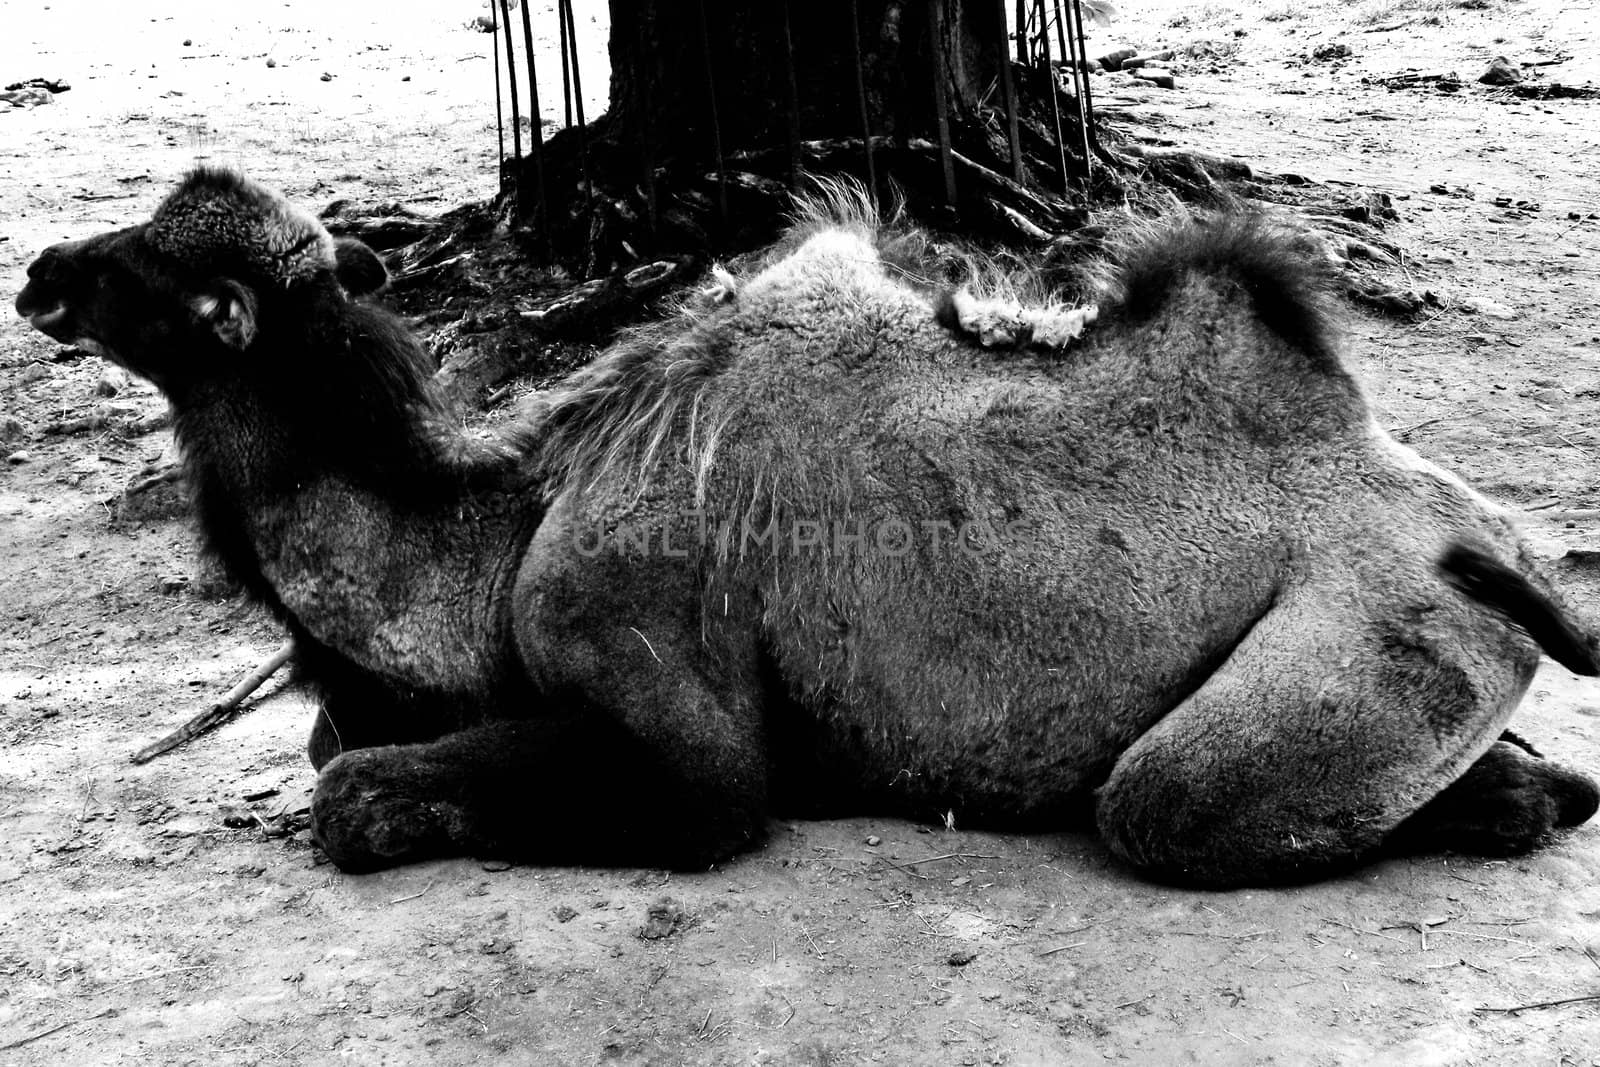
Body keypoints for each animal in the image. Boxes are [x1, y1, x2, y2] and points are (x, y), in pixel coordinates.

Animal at [15, 167, 1600, 883]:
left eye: (152, 274)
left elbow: (354, 788)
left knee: (1169, 799)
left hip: (1368, 639)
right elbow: (330, 740)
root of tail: (1487, 544)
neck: (503, 527)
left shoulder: (657, 678)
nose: (39, 269)